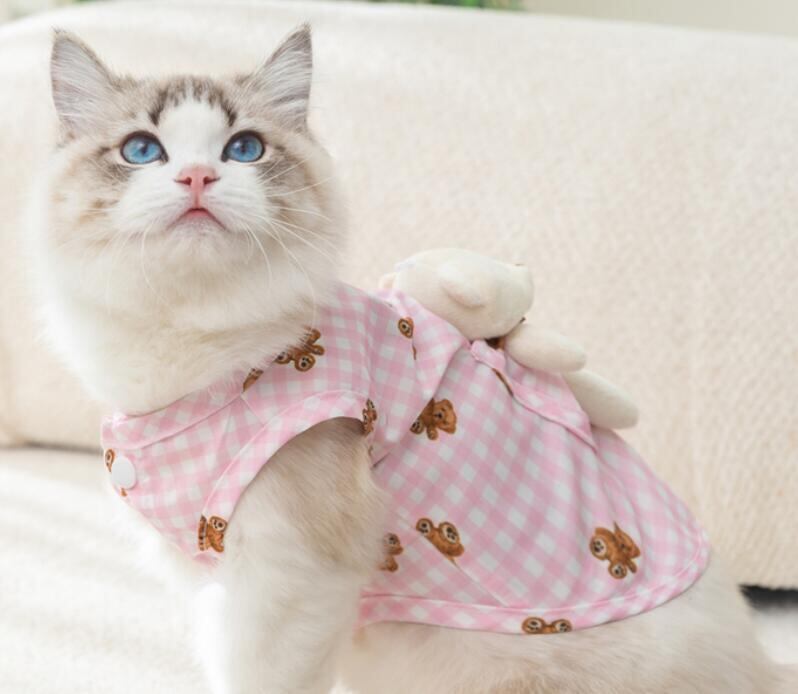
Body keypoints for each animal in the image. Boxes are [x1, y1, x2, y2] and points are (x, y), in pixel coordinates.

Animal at [33, 26, 795, 694]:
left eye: (244, 148)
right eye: (142, 150)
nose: (196, 176)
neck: (205, 357)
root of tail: (762, 669)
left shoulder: (289, 579)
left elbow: (255, 677)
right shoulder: (223, 582)